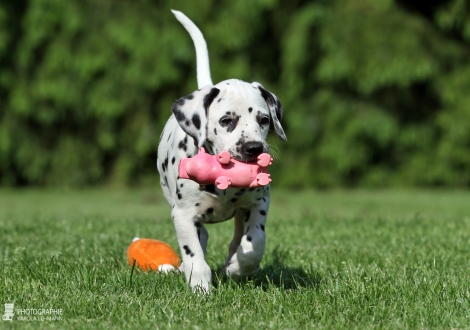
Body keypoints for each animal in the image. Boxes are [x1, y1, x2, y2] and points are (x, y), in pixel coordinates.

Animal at [157, 10, 286, 292]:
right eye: (226, 120)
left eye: (264, 120)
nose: (253, 148)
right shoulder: (183, 214)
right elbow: (194, 254)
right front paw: (200, 287)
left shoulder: (258, 202)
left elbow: (254, 241)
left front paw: (237, 268)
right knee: (202, 237)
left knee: (237, 237)